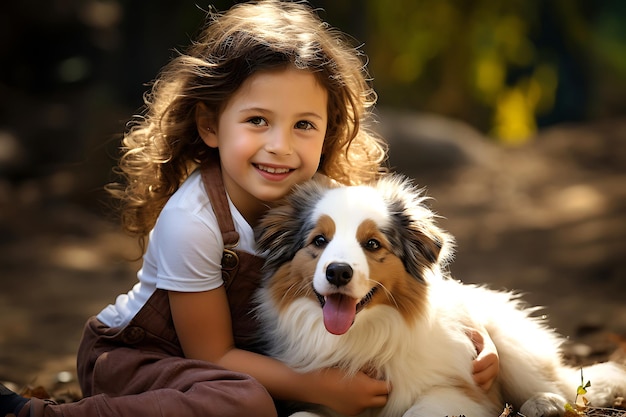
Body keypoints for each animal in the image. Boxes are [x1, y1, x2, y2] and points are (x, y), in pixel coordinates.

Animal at [254, 175, 624, 416]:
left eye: (372, 244)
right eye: (319, 240)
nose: (338, 272)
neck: (362, 336)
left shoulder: (460, 393)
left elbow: (416, 411)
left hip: (511, 344)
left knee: (562, 387)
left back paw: (544, 403)